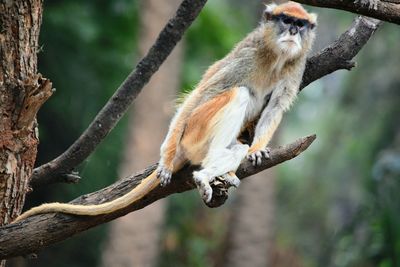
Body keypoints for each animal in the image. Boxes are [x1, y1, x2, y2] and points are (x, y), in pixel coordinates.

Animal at [14, 1, 318, 224]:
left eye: (300, 24)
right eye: (286, 20)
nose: (293, 32)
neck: (276, 56)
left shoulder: (296, 66)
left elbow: (276, 106)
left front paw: (257, 149)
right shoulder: (248, 55)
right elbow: (204, 91)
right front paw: (165, 161)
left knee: (239, 145)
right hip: (195, 131)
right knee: (237, 94)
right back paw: (201, 171)